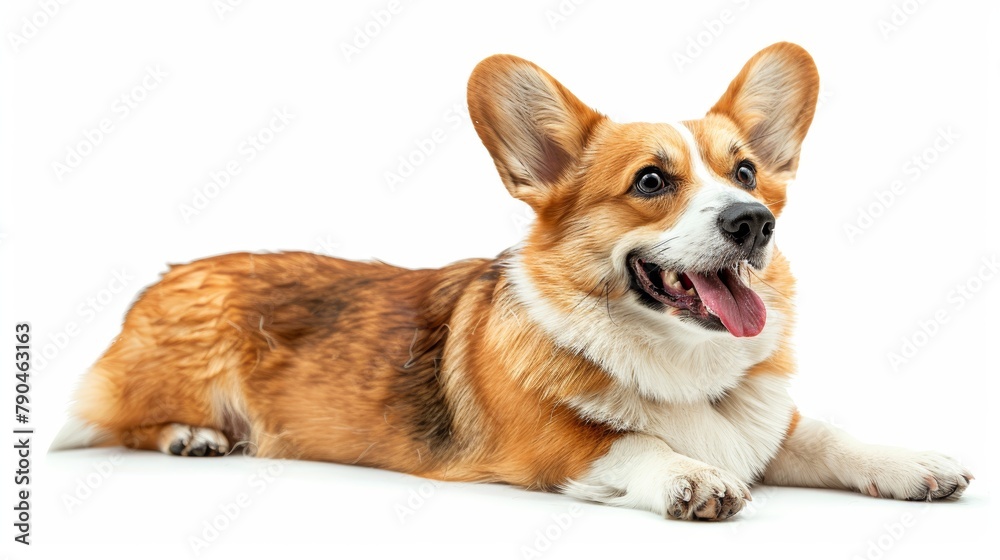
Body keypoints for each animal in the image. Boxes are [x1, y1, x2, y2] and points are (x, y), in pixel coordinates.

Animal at [54, 43, 968, 520]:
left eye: (744, 172)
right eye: (651, 181)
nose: (753, 222)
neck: (681, 370)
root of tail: (172, 273)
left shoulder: (771, 426)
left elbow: (834, 438)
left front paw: (913, 463)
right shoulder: (550, 448)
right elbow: (636, 442)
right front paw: (693, 477)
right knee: (119, 420)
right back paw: (190, 436)